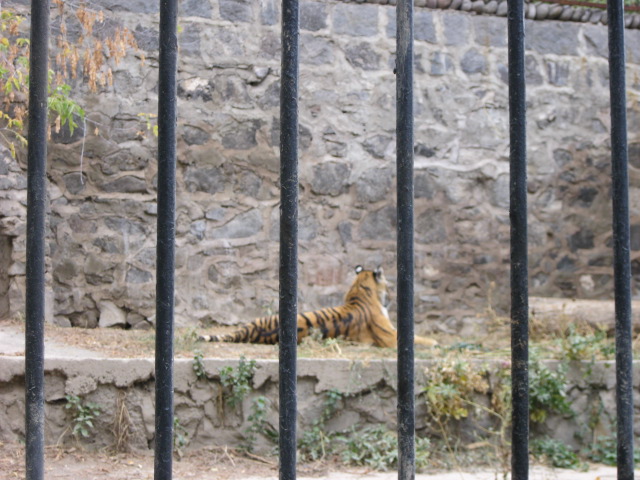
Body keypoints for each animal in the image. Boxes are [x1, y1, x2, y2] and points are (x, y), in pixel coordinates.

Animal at [198, 265, 438, 348]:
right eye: (388, 285)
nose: (391, 298)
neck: (359, 292)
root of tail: (251, 331)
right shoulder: (390, 336)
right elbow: (418, 339)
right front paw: (435, 342)